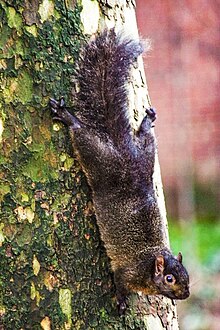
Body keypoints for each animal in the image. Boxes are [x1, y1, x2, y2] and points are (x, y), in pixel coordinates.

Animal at [49, 27, 189, 312]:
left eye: (187, 276)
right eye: (170, 279)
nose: (186, 293)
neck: (150, 261)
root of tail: (122, 148)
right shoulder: (128, 272)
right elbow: (120, 281)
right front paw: (122, 301)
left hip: (145, 156)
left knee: (145, 138)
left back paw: (146, 121)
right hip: (99, 161)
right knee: (81, 135)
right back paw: (69, 118)